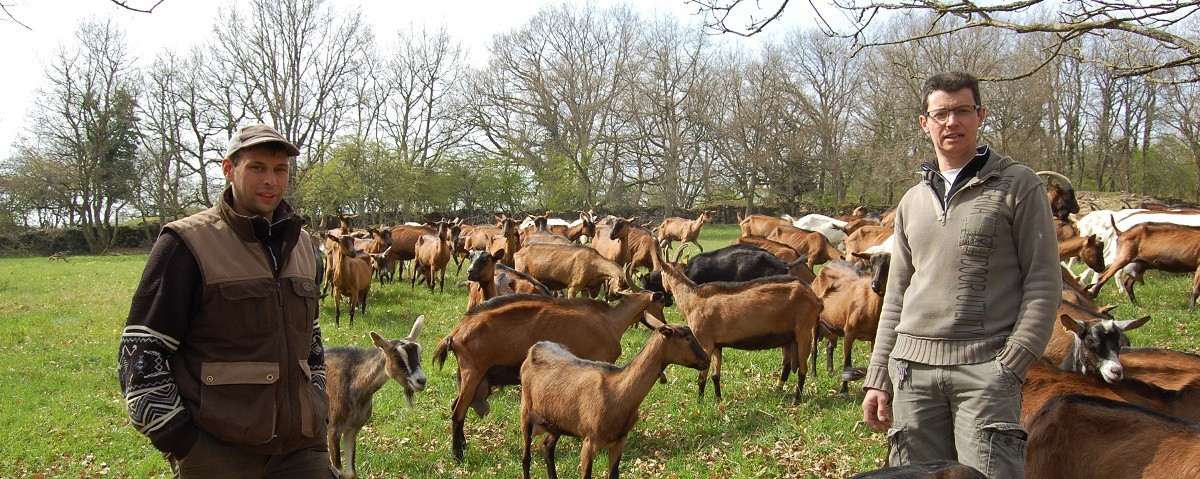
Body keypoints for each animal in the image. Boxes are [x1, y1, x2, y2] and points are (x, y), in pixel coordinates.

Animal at [325, 316, 427, 479]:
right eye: (397, 356)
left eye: (419, 353)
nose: (421, 381)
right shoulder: (333, 429)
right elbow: (338, 471)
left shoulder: (352, 429)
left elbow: (351, 473)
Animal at [431, 290, 668, 461]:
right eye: (661, 304)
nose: (664, 324)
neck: (610, 321)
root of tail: (455, 333)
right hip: (472, 373)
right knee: (458, 413)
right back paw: (458, 455)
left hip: (475, 379)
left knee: (455, 406)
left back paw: (463, 446)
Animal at [519, 324, 709, 479]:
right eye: (686, 338)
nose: (707, 360)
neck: (617, 393)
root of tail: (536, 347)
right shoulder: (589, 441)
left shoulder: (619, 441)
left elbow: (614, 474)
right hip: (526, 410)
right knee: (526, 457)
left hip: (557, 420)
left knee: (548, 446)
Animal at [658, 260, 822, 405]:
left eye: (661, 272)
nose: (665, 293)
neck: (693, 299)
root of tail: (816, 298)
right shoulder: (717, 345)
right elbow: (715, 375)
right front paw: (718, 399)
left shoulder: (705, 342)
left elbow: (701, 377)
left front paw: (699, 401)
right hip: (789, 338)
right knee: (788, 365)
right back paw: (778, 389)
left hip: (803, 332)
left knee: (803, 369)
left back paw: (796, 399)